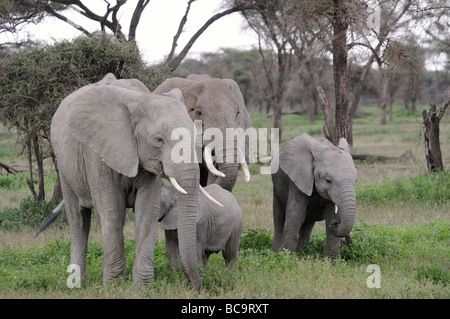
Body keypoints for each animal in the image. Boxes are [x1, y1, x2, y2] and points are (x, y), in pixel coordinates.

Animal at [51, 73, 221, 290]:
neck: (141, 100)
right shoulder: (98, 155)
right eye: (158, 140)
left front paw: (141, 288)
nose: (199, 287)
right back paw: (77, 284)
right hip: (63, 164)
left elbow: (146, 214)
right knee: (79, 220)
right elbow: (112, 214)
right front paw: (113, 287)